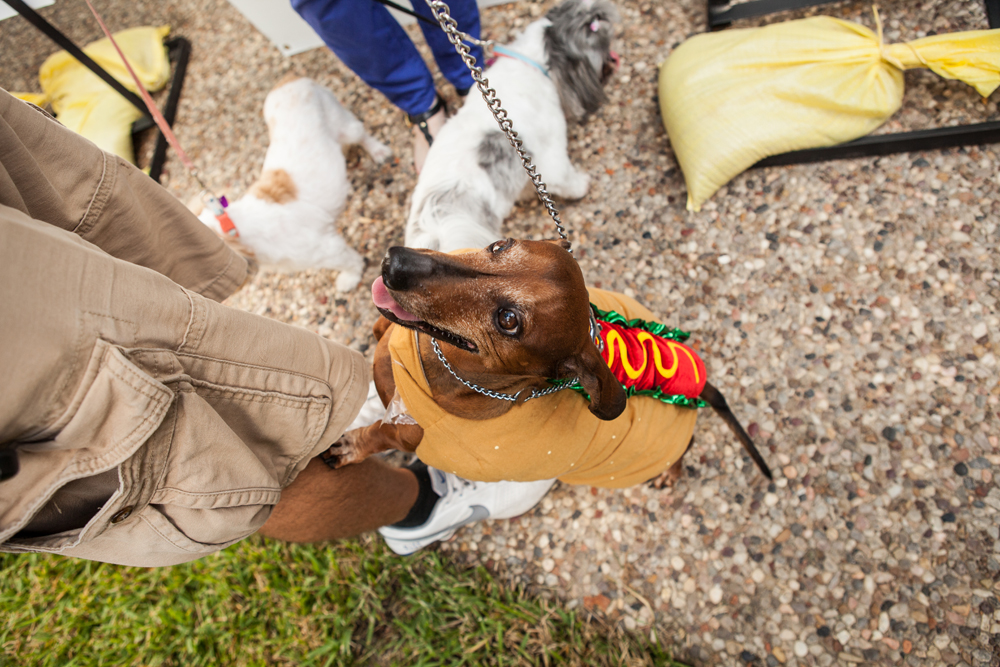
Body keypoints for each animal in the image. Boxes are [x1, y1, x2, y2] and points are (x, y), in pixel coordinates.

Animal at [197, 77, 392, 290]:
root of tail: (288, 80)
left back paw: (377, 151)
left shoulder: (327, 249)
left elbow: (349, 261)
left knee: (361, 134)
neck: (233, 227)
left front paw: (349, 278)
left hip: (343, 124)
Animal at [322, 240, 772, 490]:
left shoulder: (406, 436)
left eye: (508, 320)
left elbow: (377, 434)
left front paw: (351, 446)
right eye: (500, 245)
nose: (394, 262)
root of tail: (700, 384)